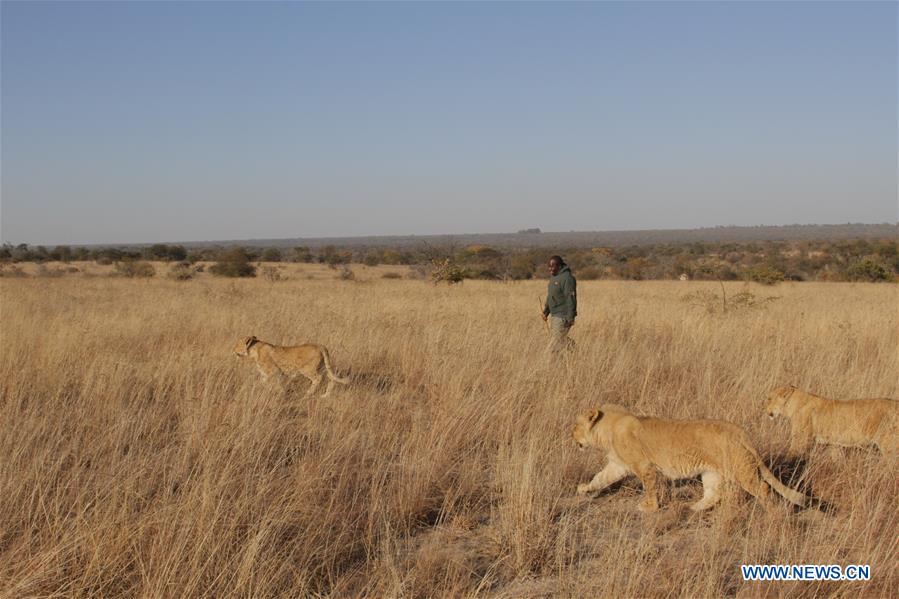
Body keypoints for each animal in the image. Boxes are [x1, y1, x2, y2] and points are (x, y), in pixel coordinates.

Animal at [576, 406, 808, 512]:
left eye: (574, 426)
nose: (571, 436)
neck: (609, 428)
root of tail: (740, 432)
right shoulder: (617, 466)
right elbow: (600, 478)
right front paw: (584, 488)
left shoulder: (645, 467)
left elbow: (650, 487)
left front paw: (649, 507)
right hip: (711, 472)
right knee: (714, 494)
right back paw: (694, 508)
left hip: (740, 469)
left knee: (764, 488)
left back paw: (773, 513)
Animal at [768, 386, 899, 458]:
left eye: (769, 398)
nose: (765, 408)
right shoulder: (835, 444)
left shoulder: (801, 439)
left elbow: (792, 455)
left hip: (888, 445)